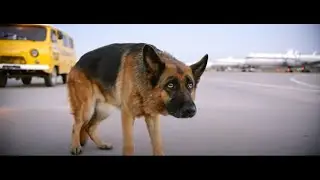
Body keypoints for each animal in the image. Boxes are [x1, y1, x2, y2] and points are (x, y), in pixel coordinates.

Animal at [67, 43, 208, 155]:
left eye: (190, 85)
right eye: (170, 85)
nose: (191, 110)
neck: (144, 87)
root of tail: (78, 62)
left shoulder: (153, 118)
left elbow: (157, 144)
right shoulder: (127, 116)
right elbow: (129, 146)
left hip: (104, 110)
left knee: (89, 127)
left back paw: (102, 144)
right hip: (87, 108)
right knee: (76, 125)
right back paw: (75, 146)